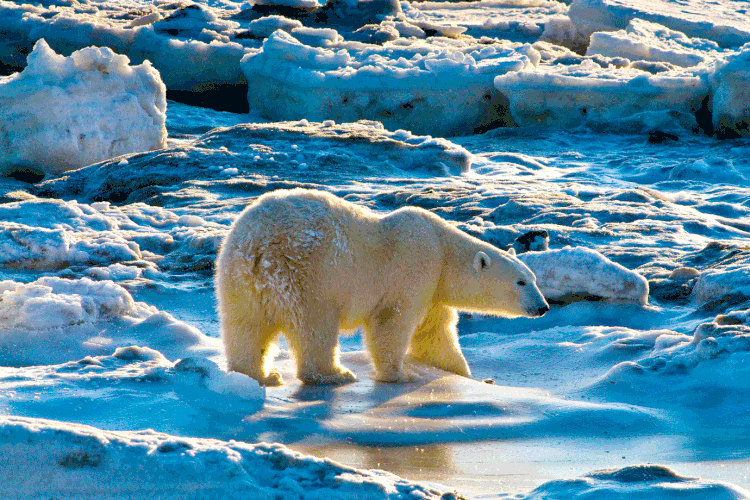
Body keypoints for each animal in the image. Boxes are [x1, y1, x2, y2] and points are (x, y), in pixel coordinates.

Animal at [214, 189, 548, 384]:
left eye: (533, 278)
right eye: (521, 281)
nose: (543, 307)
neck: (442, 247)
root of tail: (258, 249)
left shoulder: (433, 290)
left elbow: (434, 334)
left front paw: (464, 373)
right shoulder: (415, 266)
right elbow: (393, 323)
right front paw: (401, 375)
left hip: (237, 280)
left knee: (245, 327)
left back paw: (260, 375)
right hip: (307, 275)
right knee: (315, 326)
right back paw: (334, 374)